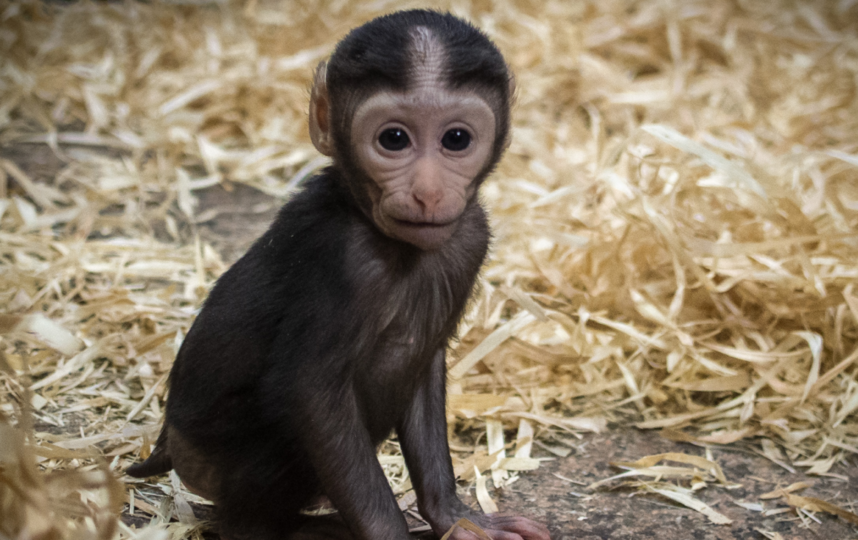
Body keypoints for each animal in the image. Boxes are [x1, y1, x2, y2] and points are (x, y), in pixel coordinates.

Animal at [130, 9, 552, 540]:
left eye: (456, 139)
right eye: (394, 139)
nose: (429, 192)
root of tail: (169, 445)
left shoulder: (470, 237)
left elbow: (424, 364)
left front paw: (457, 517)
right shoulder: (342, 259)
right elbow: (313, 394)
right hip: (210, 459)